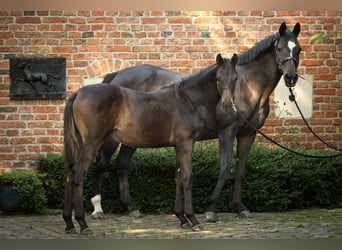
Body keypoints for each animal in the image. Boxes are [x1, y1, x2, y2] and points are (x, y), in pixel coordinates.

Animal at [62, 53, 238, 234]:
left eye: (235, 78)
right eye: (218, 78)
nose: (227, 105)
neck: (187, 100)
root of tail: (78, 93)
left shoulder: (178, 146)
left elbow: (178, 177)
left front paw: (182, 218)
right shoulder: (186, 144)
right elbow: (187, 178)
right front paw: (193, 219)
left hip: (80, 144)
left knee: (70, 173)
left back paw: (69, 223)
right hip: (92, 142)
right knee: (79, 173)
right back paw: (83, 223)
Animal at [91, 21, 302, 221]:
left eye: (298, 49)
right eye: (280, 48)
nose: (291, 78)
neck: (248, 87)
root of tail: (116, 76)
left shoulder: (248, 134)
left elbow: (241, 171)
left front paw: (241, 207)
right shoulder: (227, 131)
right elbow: (225, 169)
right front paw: (211, 209)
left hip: (134, 137)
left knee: (123, 163)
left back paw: (131, 208)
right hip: (114, 137)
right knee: (102, 161)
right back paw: (98, 210)